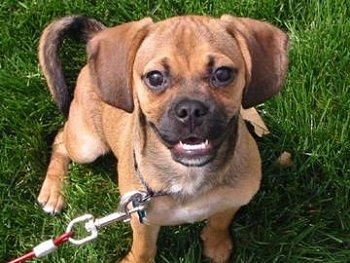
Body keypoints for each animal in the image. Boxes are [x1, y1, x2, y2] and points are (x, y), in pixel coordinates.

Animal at [37, 14, 290, 263]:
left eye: (223, 74)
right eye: (155, 77)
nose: (191, 110)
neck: (189, 176)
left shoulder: (233, 200)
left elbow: (220, 221)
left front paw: (216, 244)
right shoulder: (141, 218)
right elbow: (143, 249)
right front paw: (135, 260)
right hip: (86, 146)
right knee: (60, 139)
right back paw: (53, 191)